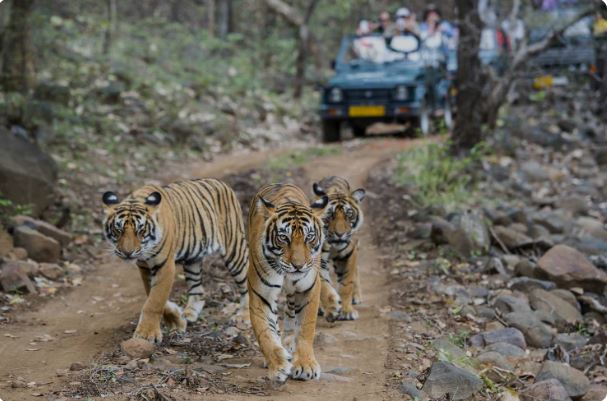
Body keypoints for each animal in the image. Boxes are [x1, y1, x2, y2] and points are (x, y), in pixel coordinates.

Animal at [102, 179, 249, 344]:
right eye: (118, 230)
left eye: (141, 231)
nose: (127, 252)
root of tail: (222, 183)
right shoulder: (145, 267)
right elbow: (153, 295)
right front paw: (177, 320)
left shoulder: (164, 265)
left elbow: (155, 300)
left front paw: (146, 334)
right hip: (193, 259)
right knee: (198, 289)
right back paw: (190, 313)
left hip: (234, 249)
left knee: (246, 283)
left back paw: (244, 316)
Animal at [248, 183, 330, 382]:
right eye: (284, 238)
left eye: (309, 237)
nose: (298, 266)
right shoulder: (261, 294)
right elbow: (265, 333)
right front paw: (278, 365)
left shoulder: (308, 290)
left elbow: (305, 329)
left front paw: (306, 365)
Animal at [314, 177, 366, 320]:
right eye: (330, 215)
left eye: (349, 214)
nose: (340, 234)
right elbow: (324, 285)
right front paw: (332, 308)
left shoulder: (349, 253)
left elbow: (347, 283)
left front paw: (347, 311)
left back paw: (356, 296)